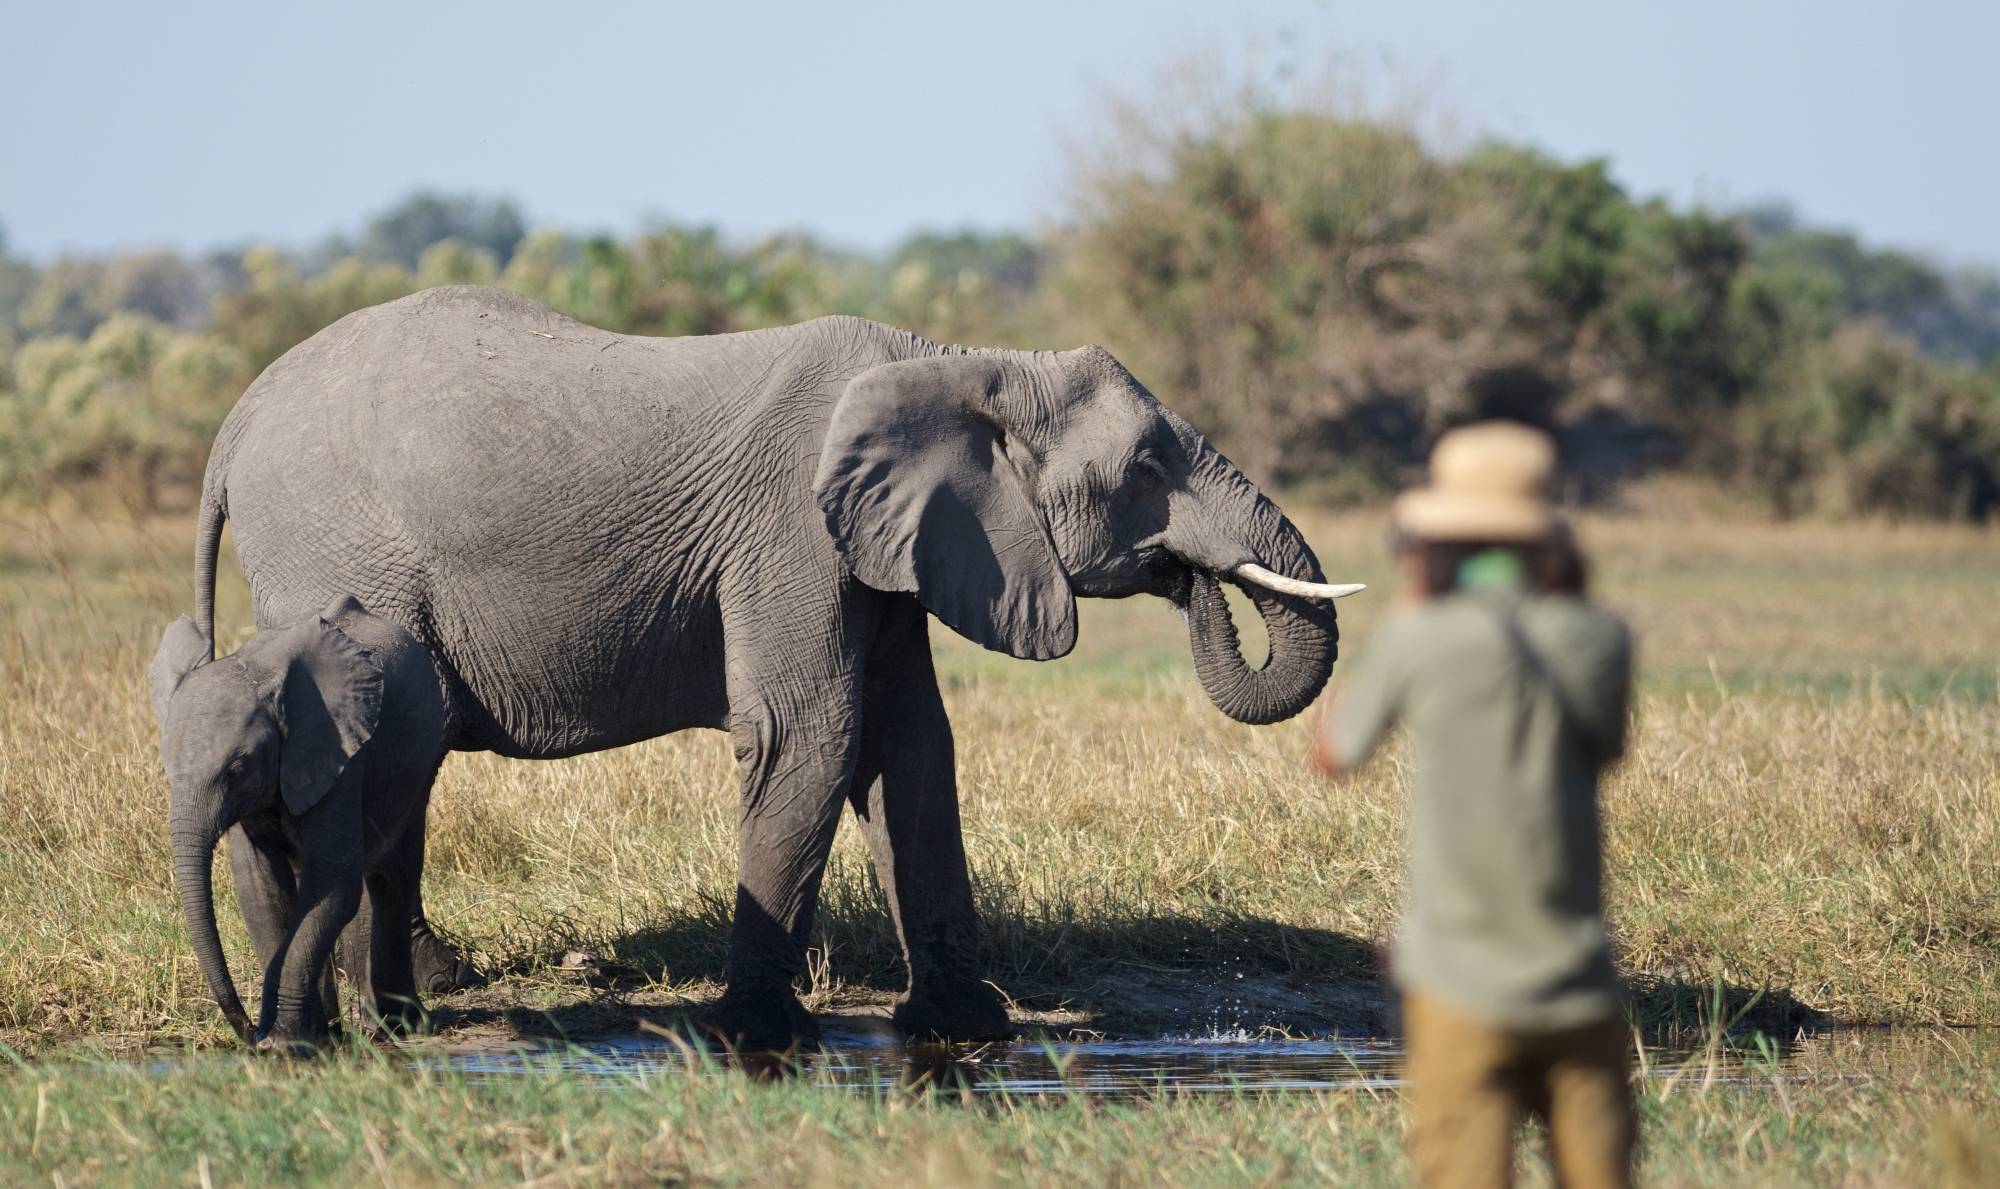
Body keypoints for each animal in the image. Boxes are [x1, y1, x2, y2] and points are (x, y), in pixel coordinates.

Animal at [150, 595, 447, 1049]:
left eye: (238, 768)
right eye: (166, 769)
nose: (247, 1031)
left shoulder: (341, 756)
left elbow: (332, 887)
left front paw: (286, 1043)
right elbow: (261, 891)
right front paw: (302, 1038)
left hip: (418, 759)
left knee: (390, 875)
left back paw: (398, 1026)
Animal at [185, 284, 1364, 1049]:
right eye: (1148, 466)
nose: (1195, 580)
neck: (958, 361)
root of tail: (233, 423)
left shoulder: (885, 549)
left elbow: (913, 748)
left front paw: (965, 1027)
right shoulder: (791, 534)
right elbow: (813, 732)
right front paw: (753, 1036)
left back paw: (410, 995)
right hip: (335, 555)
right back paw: (357, 1016)